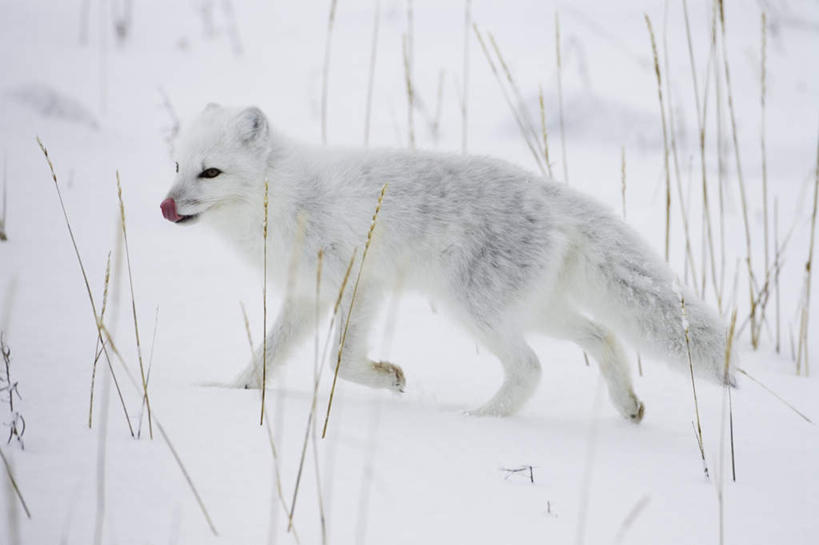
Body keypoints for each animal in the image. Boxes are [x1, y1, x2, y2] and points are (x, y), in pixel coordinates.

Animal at [163, 106, 732, 420]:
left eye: (211, 173)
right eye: (176, 166)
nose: (166, 207)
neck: (285, 197)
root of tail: (550, 196)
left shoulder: (360, 282)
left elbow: (340, 361)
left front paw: (390, 378)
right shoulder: (307, 296)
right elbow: (264, 358)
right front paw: (230, 393)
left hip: (475, 311)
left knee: (531, 367)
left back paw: (479, 419)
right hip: (535, 310)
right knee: (603, 336)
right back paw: (627, 406)